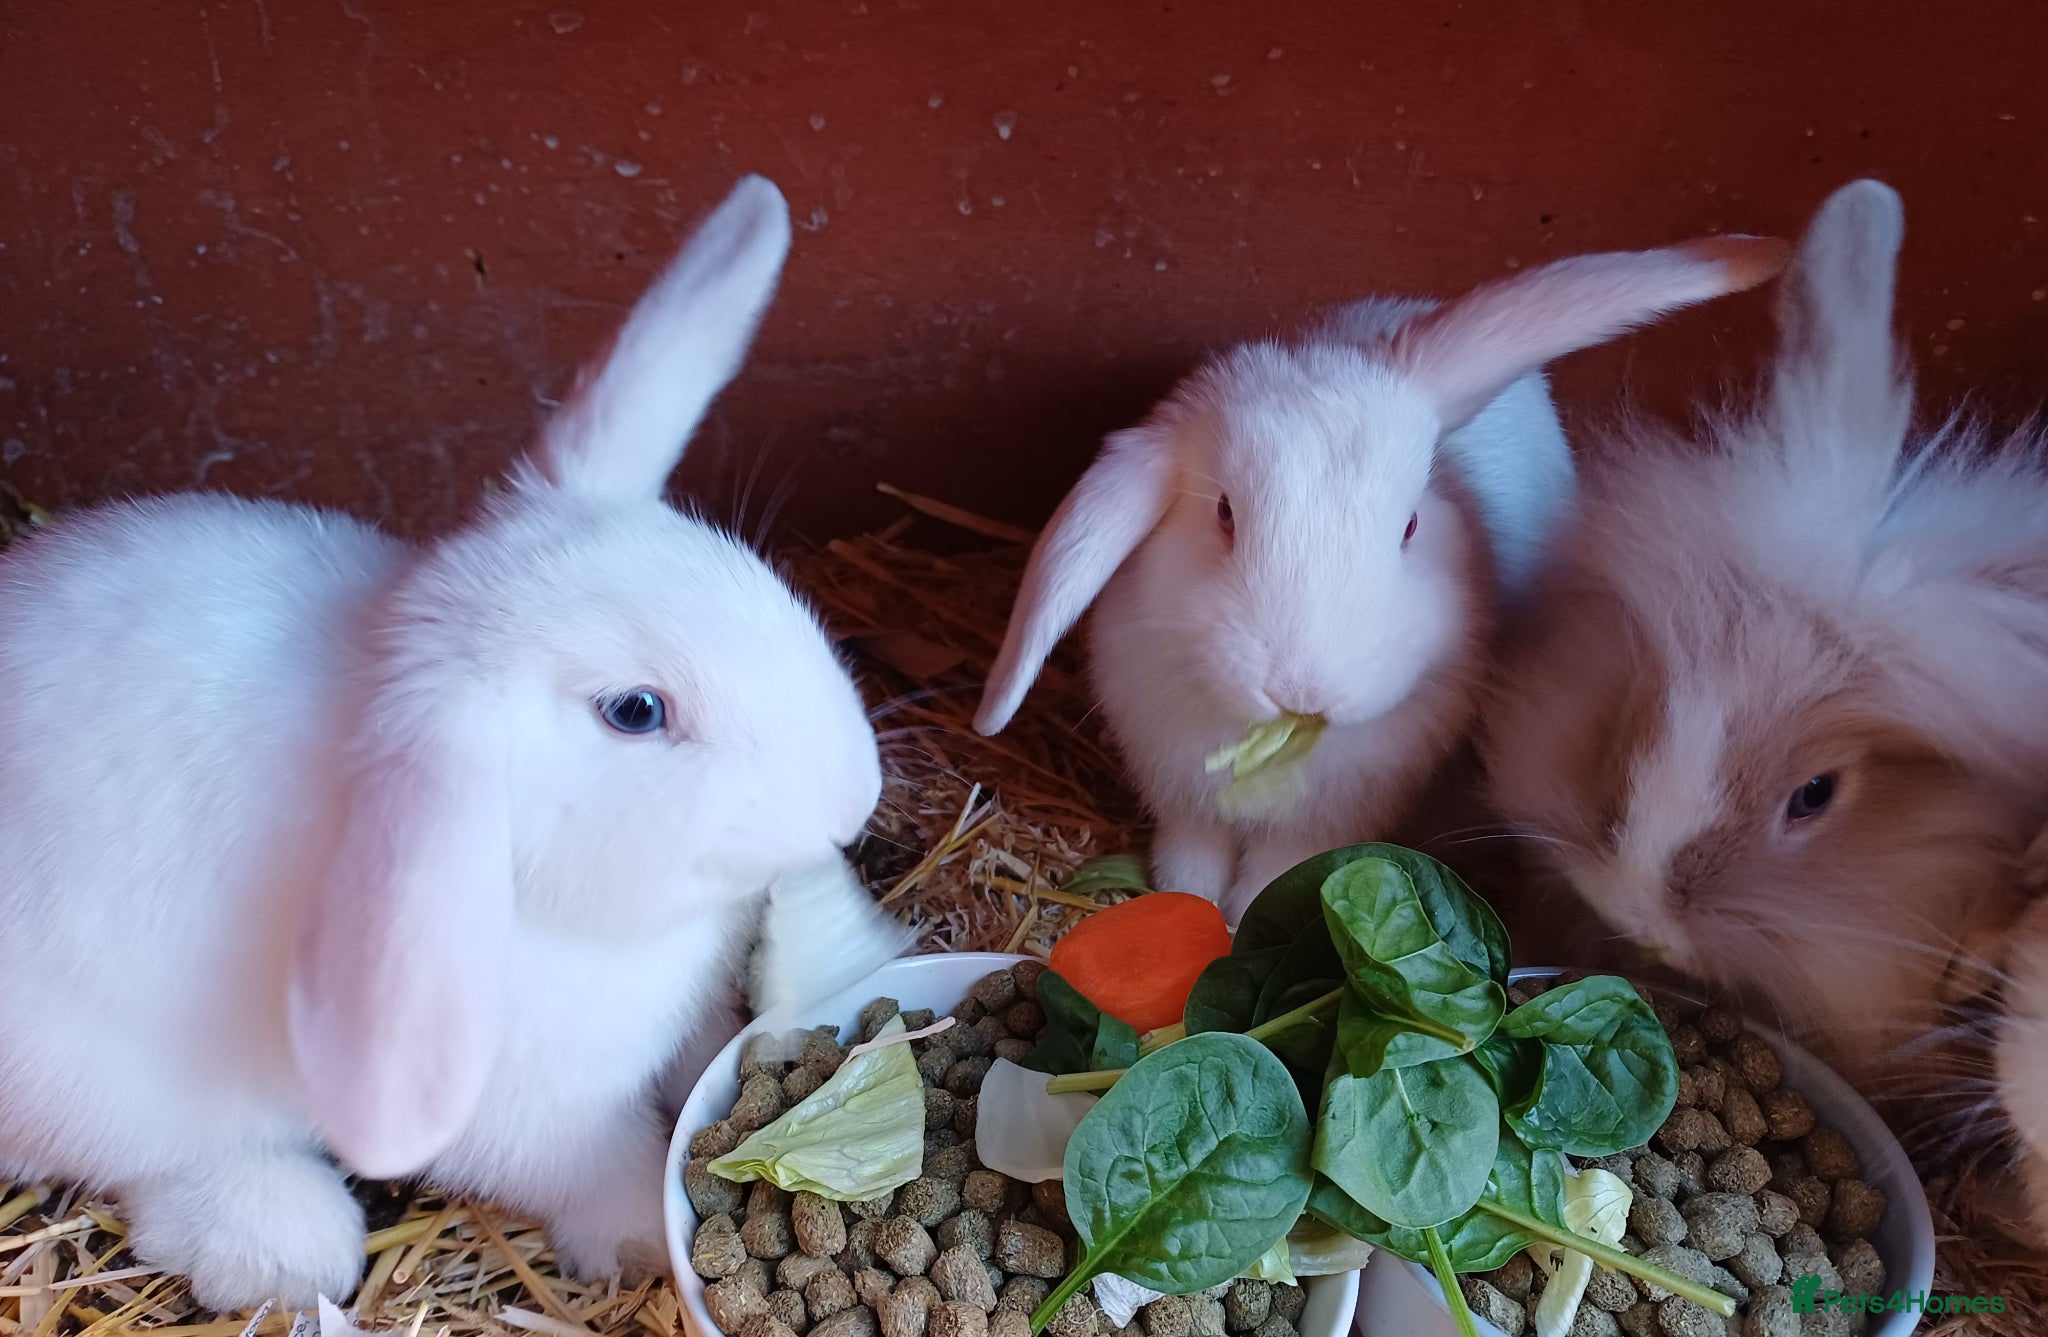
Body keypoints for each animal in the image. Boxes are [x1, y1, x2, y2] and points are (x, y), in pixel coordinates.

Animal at [0, 174, 911, 1312]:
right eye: (635, 711)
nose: (854, 794)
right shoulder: (525, 1108)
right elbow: (601, 1163)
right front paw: (641, 1240)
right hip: (102, 1079)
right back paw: (283, 1239)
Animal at [973, 234, 1790, 923]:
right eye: (1224, 513)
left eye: (1410, 526)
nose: (1304, 692)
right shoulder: (1186, 804)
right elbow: (1191, 870)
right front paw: (1192, 914)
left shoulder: (1326, 820)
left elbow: (1271, 879)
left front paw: (1238, 928)